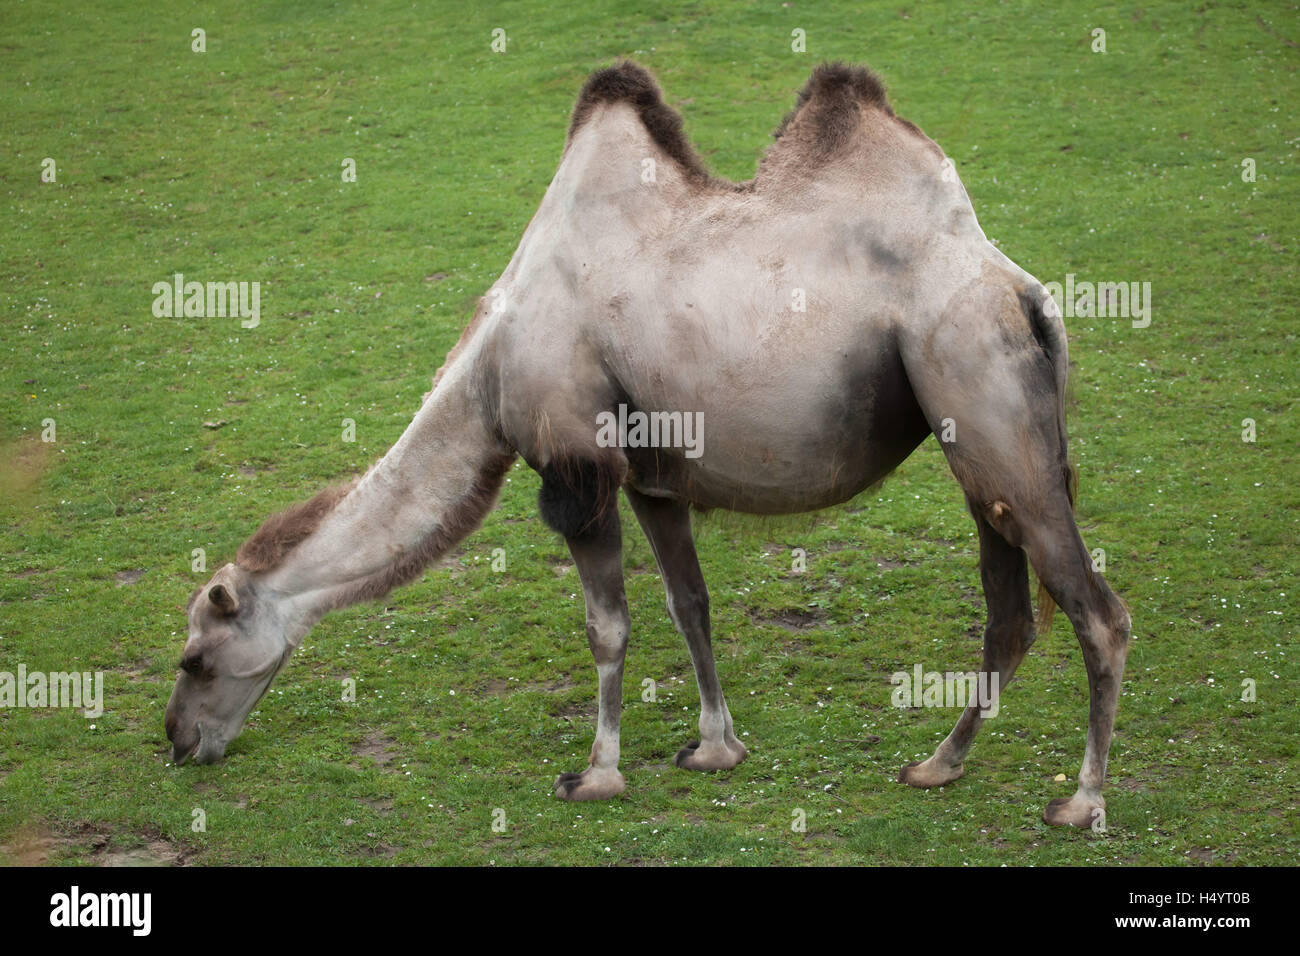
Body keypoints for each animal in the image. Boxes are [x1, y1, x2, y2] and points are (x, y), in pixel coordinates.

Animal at [167, 59, 1133, 827]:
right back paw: (936, 764)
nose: (177, 741)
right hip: (980, 457)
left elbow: (609, 626)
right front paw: (715, 748)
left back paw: (1079, 801)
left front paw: (596, 775)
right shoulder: (650, 477)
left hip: (986, 400)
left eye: (195, 658)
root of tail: (1026, 295)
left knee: (1098, 613)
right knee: (1013, 615)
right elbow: (687, 604)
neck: (487, 373)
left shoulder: (575, 465)